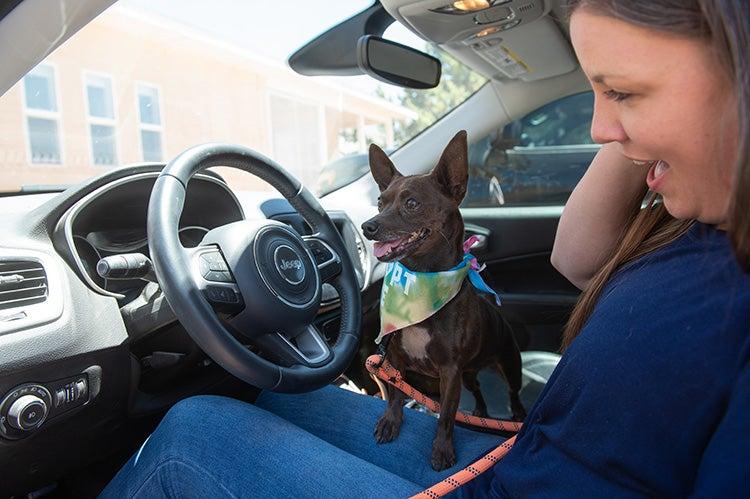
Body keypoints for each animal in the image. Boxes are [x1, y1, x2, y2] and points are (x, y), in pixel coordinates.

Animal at [362, 130, 524, 472]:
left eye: (411, 203)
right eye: (381, 202)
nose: (367, 226)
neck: (422, 281)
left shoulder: (450, 373)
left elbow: (447, 416)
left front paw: (442, 449)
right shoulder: (396, 361)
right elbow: (395, 396)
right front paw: (390, 422)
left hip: (508, 364)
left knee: (513, 393)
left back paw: (516, 414)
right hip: (470, 373)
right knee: (478, 391)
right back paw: (480, 411)